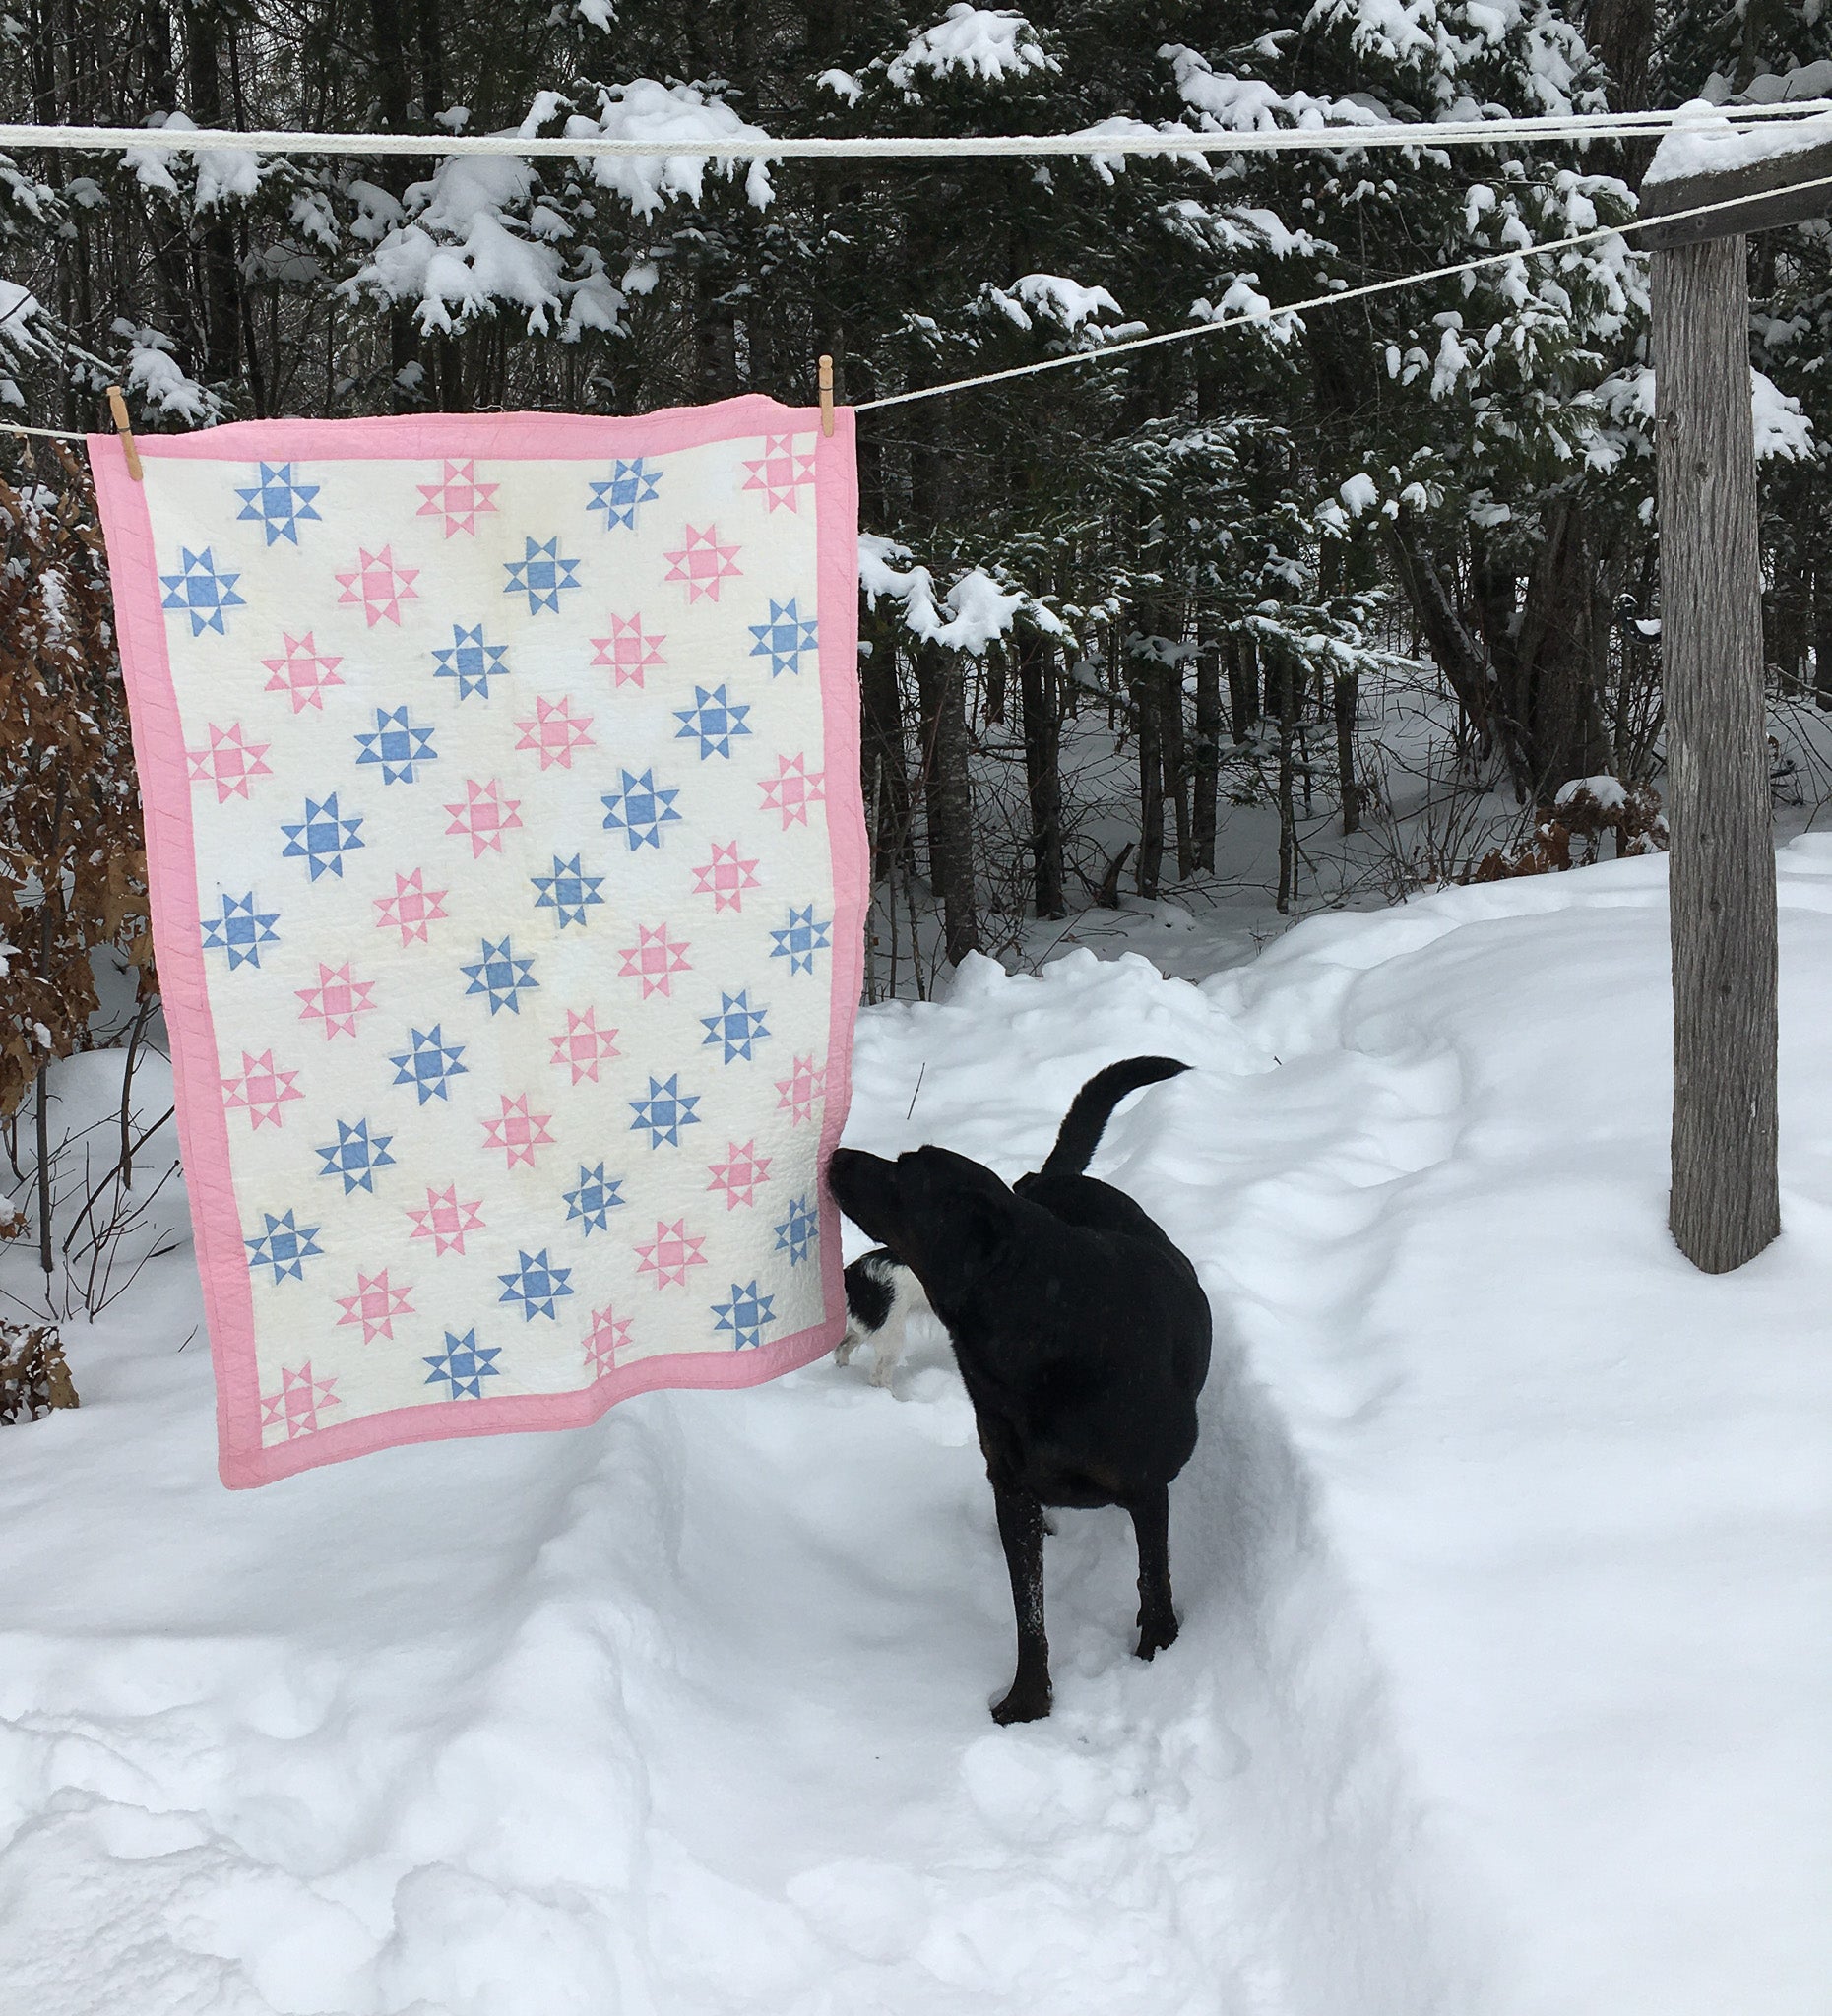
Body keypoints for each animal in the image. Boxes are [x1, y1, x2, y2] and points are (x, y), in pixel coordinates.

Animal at [826, 1047, 1201, 1726]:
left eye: (907, 1170)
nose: (835, 1153)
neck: (1040, 1335)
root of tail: (1049, 1178)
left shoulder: (1146, 1486)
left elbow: (1152, 1578)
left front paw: (1159, 1650)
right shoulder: (1013, 1488)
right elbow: (1029, 1611)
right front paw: (1028, 1700)